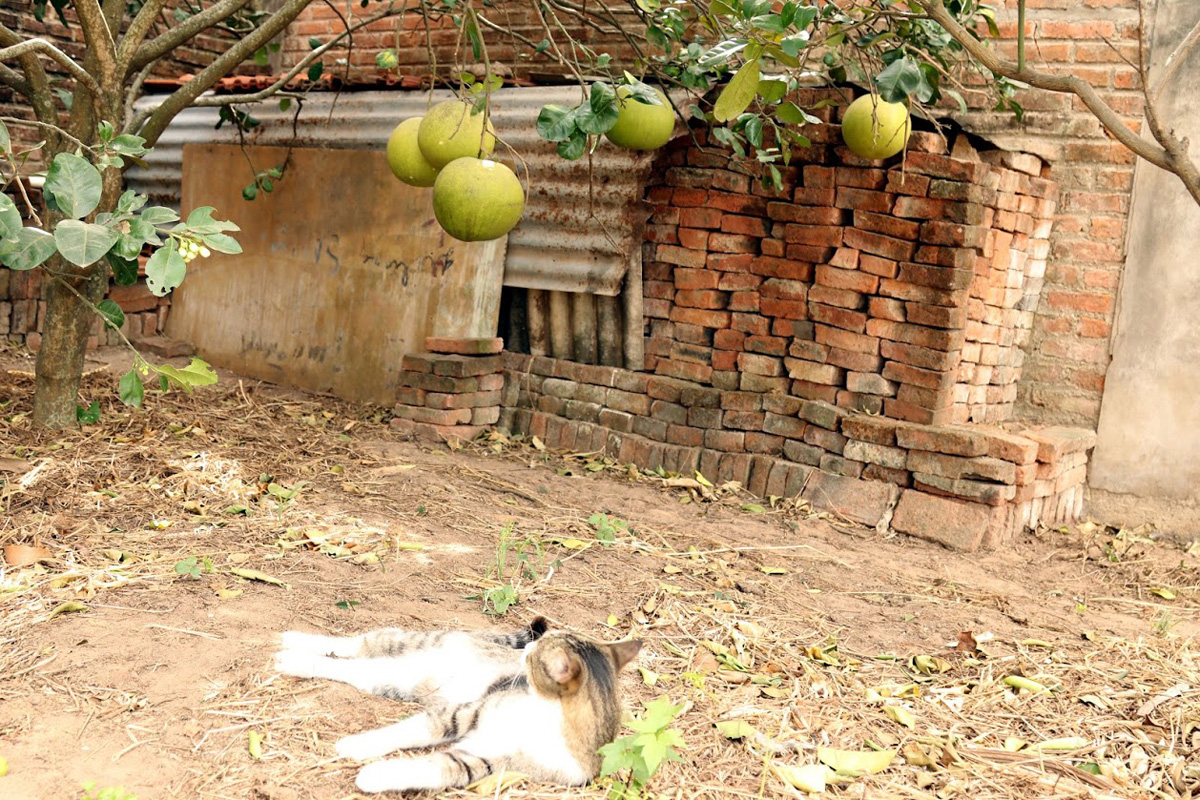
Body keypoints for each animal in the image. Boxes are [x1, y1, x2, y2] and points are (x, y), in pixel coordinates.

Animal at [273, 617, 642, 794]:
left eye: (534, 657)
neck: (543, 717)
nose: (524, 651)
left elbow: (438, 768)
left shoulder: (489, 762)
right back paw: (294, 643)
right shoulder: (466, 712)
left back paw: (296, 659)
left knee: (351, 668)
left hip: (388, 679)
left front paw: (374, 774)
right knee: (360, 642)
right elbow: (411, 729)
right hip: (414, 642)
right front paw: (357, 745)